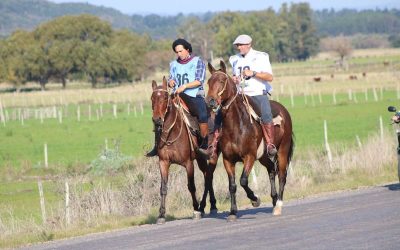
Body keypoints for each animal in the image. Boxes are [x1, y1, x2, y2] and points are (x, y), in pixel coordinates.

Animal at [149, 76, 217, 225]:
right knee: (207, 176)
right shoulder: (163, 162)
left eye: (165, 97)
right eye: (152, 98)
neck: (172, 132)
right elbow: (163, 188)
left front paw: (195, 209)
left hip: (209, 156)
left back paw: (209, 206)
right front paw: (161, 214)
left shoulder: (188, 163)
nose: (157, 120)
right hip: (200, 159)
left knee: (208, 177)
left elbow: (191, 186)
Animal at [206, 61, 294, 222]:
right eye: (209, 82)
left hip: (282, 151)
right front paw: (233, 212)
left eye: (222, 81)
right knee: (271, 170)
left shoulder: (249, 156)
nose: (210, 101)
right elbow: (232, 185)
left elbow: (243, 180)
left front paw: (255, 199)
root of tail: (284, 111)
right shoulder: (228, 159)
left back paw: (278, 205)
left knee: (282, 175)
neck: (236, 125)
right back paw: (274, 200)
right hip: (264, 156)